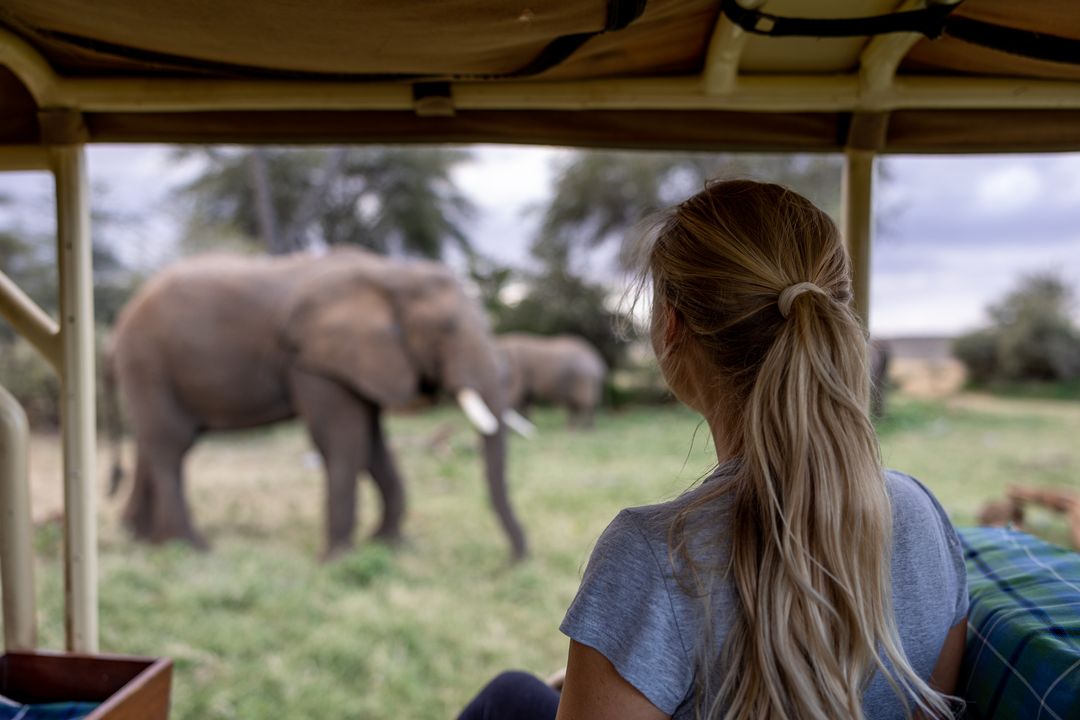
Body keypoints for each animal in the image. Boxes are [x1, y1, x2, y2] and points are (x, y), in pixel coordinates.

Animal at [106, 248, 527, 560]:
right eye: (447, 329)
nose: (515, 561)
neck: (391, 273)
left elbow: (371, 443)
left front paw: (388, 545)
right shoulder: (313, 361)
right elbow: (342, 438)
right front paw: (339, 559)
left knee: (155, 443)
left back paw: (144, 540)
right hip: (147, 360)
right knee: (171, 446)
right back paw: (193, 549)